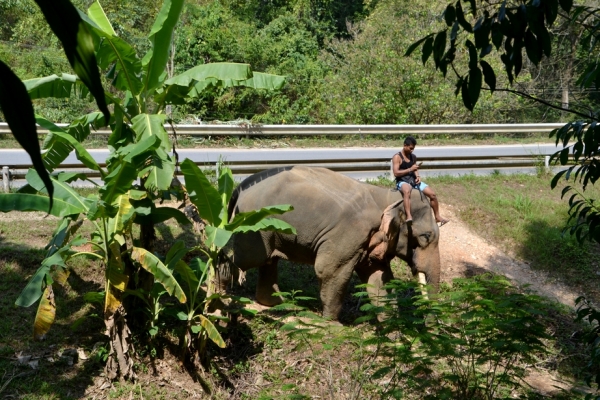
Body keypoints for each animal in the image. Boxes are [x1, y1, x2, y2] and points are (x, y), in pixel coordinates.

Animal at [218, 165, 442, 318]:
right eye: (425, 237)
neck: (387, 196)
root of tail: (241, 186)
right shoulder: (349, 233)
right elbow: (328, 270)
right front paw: (332, 324)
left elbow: (379, 278)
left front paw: (391, 332)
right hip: (253, 225)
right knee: (249, 257)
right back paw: (220, 290)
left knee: (268, 261)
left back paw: (280, 304)